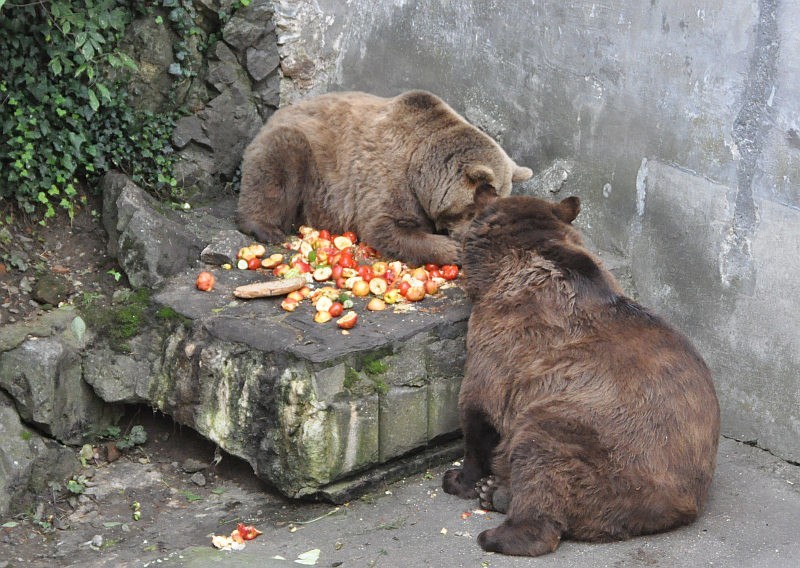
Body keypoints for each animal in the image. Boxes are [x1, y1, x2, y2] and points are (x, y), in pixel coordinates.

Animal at [236, 89, 532, 266]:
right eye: (476, 208)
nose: (472, 237)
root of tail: (277, 113)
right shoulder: (389, 178)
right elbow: (386, 227)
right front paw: (451, 250)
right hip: (303, 151)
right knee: (275, 172)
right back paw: (267, 228)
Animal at [440, 194, 720, 556]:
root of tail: (680, 506)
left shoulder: (503, 340)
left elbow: (479, 409)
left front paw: (459, 478)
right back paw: (496, 492)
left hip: (595, 442)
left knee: (541, 456)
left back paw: (498, 530)